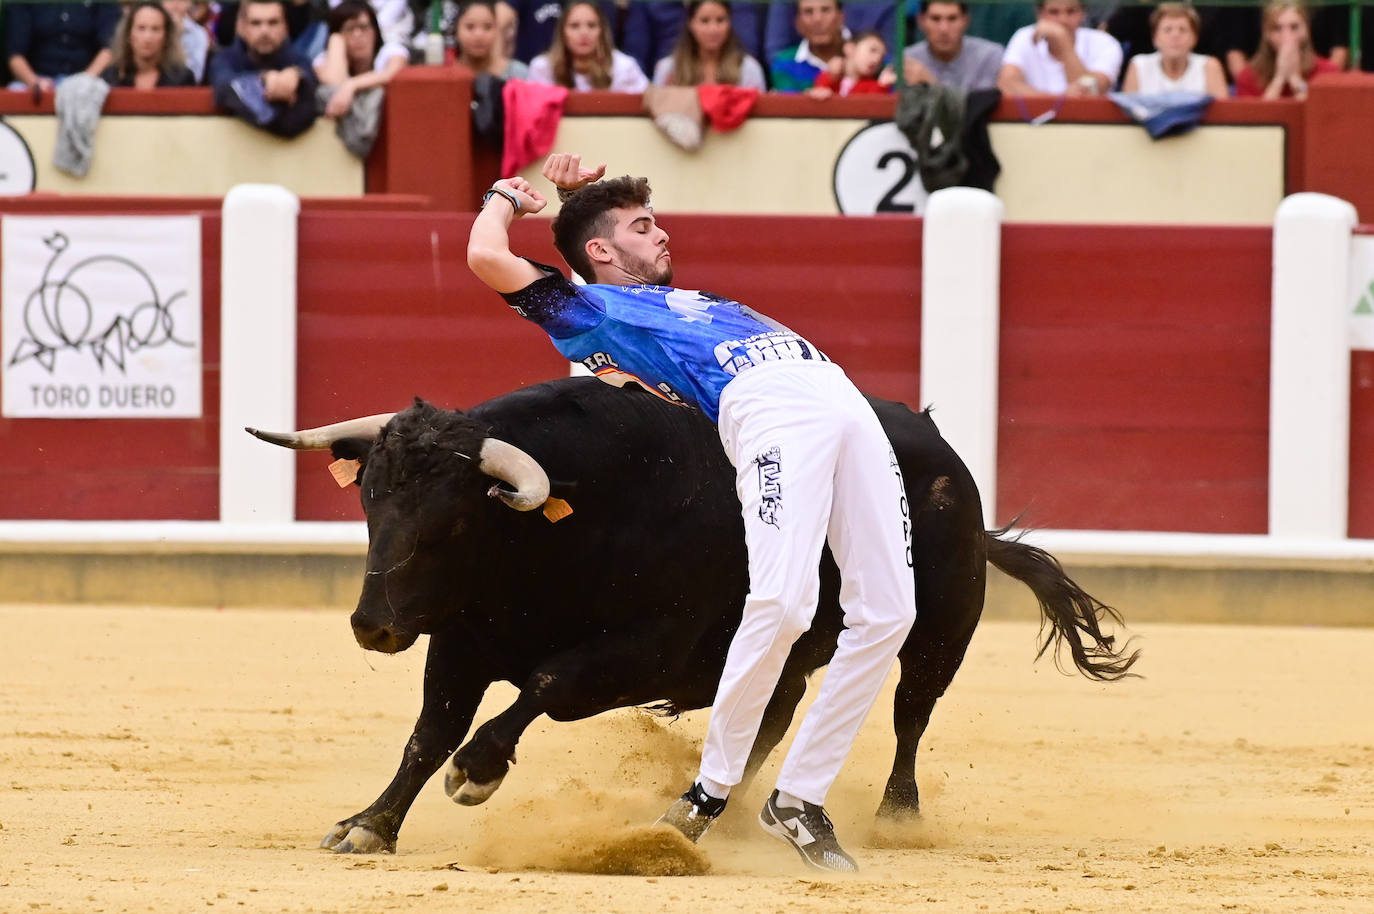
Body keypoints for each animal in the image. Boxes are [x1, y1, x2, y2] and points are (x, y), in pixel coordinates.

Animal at [247, 373, 1137, 852]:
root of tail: (948, 460)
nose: (374, 625)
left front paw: (479, 769)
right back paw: (714, 809)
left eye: (457, 519)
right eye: (369, 499)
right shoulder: (462, 642)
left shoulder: (645, 651)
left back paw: (895, 816)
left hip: (939, 630)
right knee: (773, 713)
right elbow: (426, 733)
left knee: (910, 713)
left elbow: (544, 686)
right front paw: (369, 824)